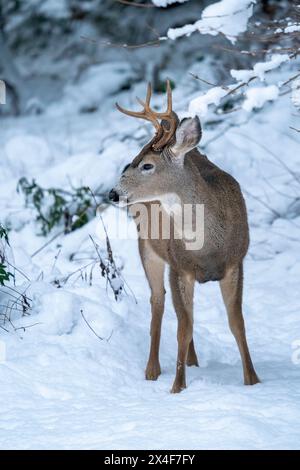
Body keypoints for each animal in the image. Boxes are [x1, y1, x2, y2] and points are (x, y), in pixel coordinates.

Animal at [109, 81, 258, 392]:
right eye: (131, 162)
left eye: (147, 165)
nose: (112, 193)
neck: (209, 246)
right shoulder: (178, 266)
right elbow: (182, 328)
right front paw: (177, 388)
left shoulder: (236, 263)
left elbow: (237, 323)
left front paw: (252, 380)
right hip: (148, 247)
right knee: (158, 300)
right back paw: (152, 369)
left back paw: (192, 361)